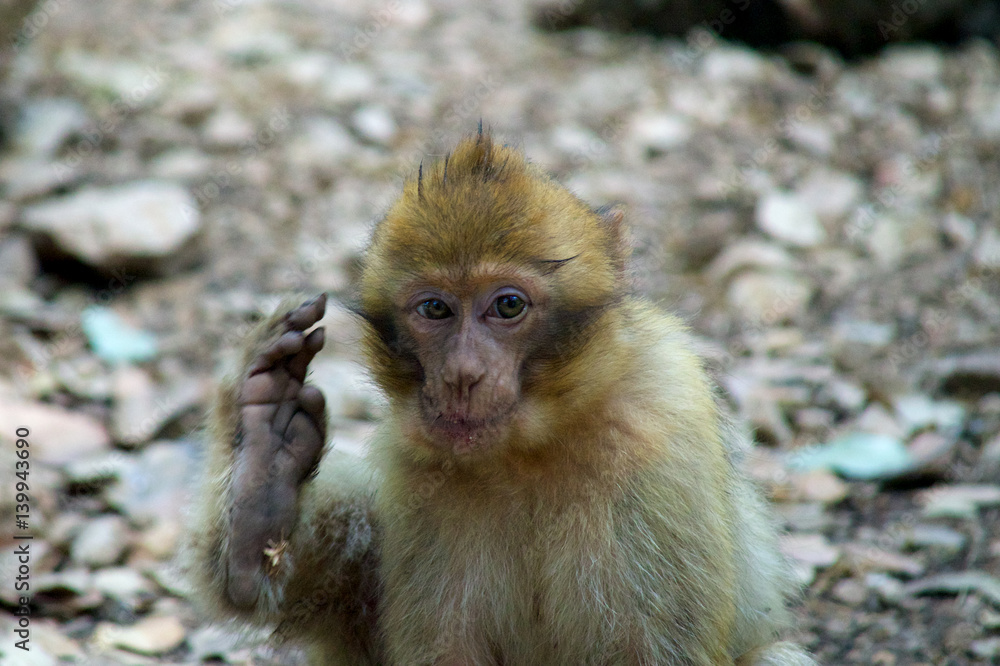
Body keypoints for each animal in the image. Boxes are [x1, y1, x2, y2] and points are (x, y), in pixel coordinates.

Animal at [184, 129, 816, 665]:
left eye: (508, 305)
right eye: (435, 309)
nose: (463, 374)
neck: (530, 449)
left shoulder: (660, 430)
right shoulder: (418, 467)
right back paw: (259, 491)